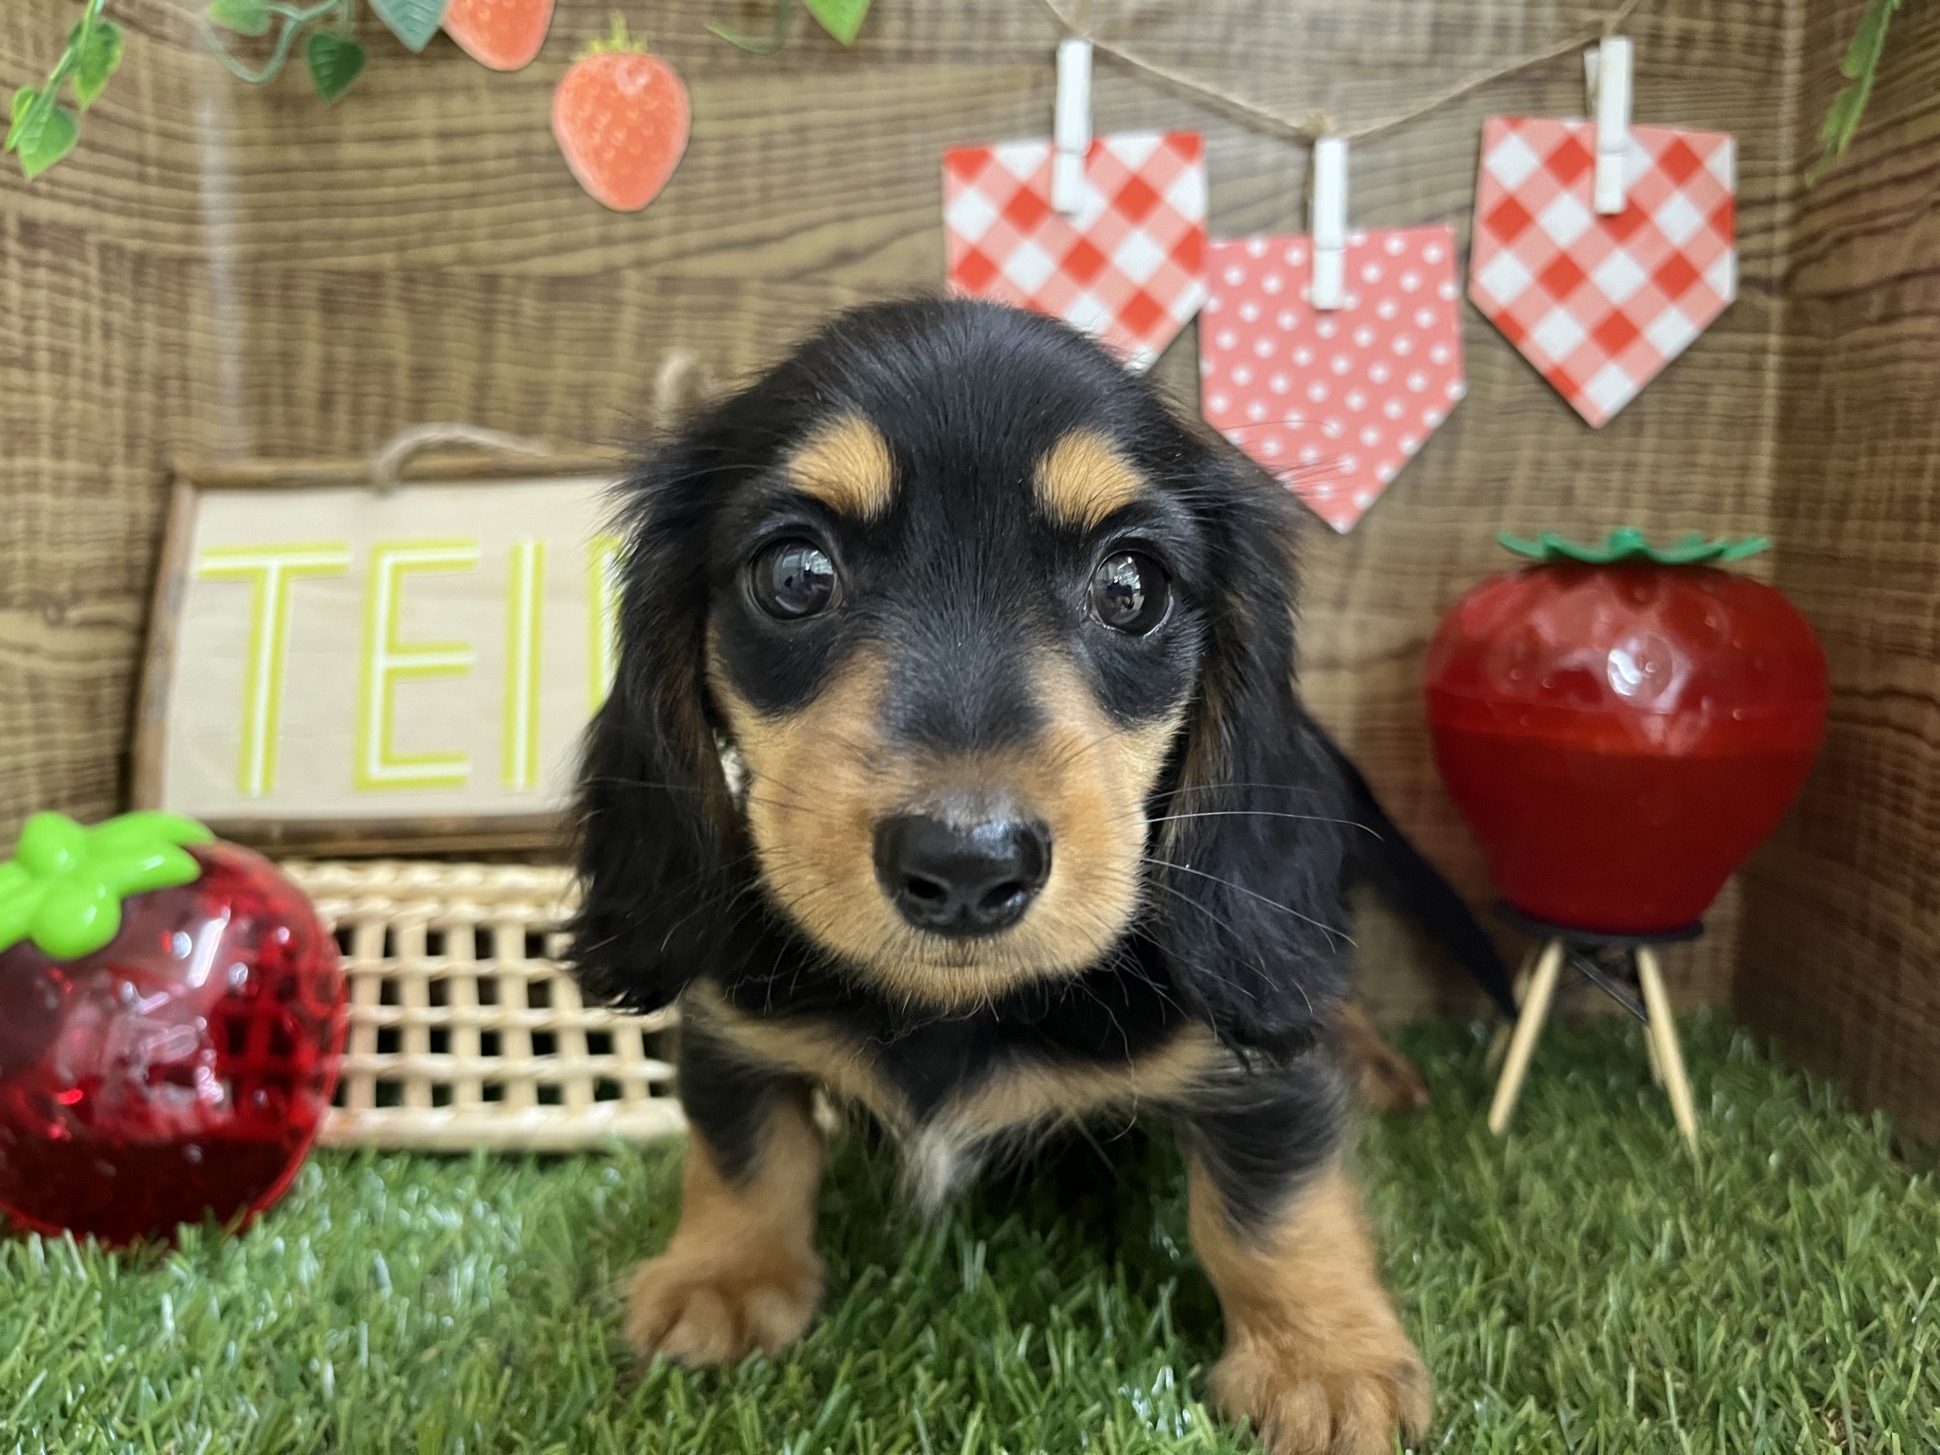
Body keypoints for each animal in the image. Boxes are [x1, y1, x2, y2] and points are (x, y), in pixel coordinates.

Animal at [566, 302, 1435, 1451]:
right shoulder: (728, 1016)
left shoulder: (1251, 1067)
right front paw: (722, 1275)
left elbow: (1273, 1200)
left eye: (1130, 587)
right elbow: (745, 1147)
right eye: (795, 575)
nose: (966, 863)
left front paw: (1324, 1361)